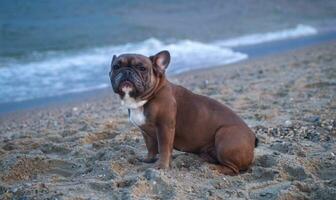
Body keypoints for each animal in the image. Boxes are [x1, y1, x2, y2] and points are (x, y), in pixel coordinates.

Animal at [109, 50, 258, 175]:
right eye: (116, 67)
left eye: (142, 68)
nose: (127, 71)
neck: (144, 99)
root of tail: (252, 137)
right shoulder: (145, 131)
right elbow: (150, 147)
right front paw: (148, 159)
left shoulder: (164, 127)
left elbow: (163, 148)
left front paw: (161, 166)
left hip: (225, 135)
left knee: (234, 169)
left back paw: (215, 168)